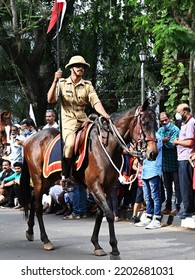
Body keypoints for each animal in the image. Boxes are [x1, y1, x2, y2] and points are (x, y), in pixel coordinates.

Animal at [18, 99, 158, 260]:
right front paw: (114, 249)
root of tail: (30, 139)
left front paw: (96, 244)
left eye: (157, 124)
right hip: (39, 179)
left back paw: (30, 231)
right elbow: (109, 214)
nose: (153, 153)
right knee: (38, 206)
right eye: (145, 123)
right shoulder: (95, 186)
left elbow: (100, 213)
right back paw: (45, 240)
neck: (107, 146)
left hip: (48, 180)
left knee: (33, 199)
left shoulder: (107, 187)